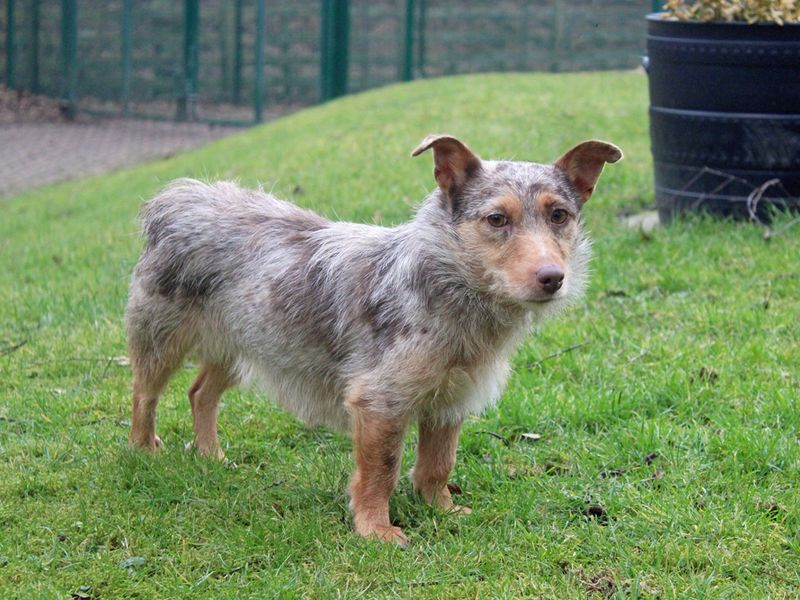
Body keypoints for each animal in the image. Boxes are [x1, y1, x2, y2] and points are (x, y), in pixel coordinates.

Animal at [126, 134, 624, 548]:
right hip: (162, 340)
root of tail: (179, 197)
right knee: (144, 396)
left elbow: (437, 465)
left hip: (242, 345)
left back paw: (211, 455)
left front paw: (440, 510)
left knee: (200, 394)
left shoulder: (449, 401)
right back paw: (143, 451)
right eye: (497, 219)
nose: (553, 278)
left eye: (559, 215)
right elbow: (382, 469)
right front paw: (375, 529)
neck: (447, 285)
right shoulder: (380, 403)